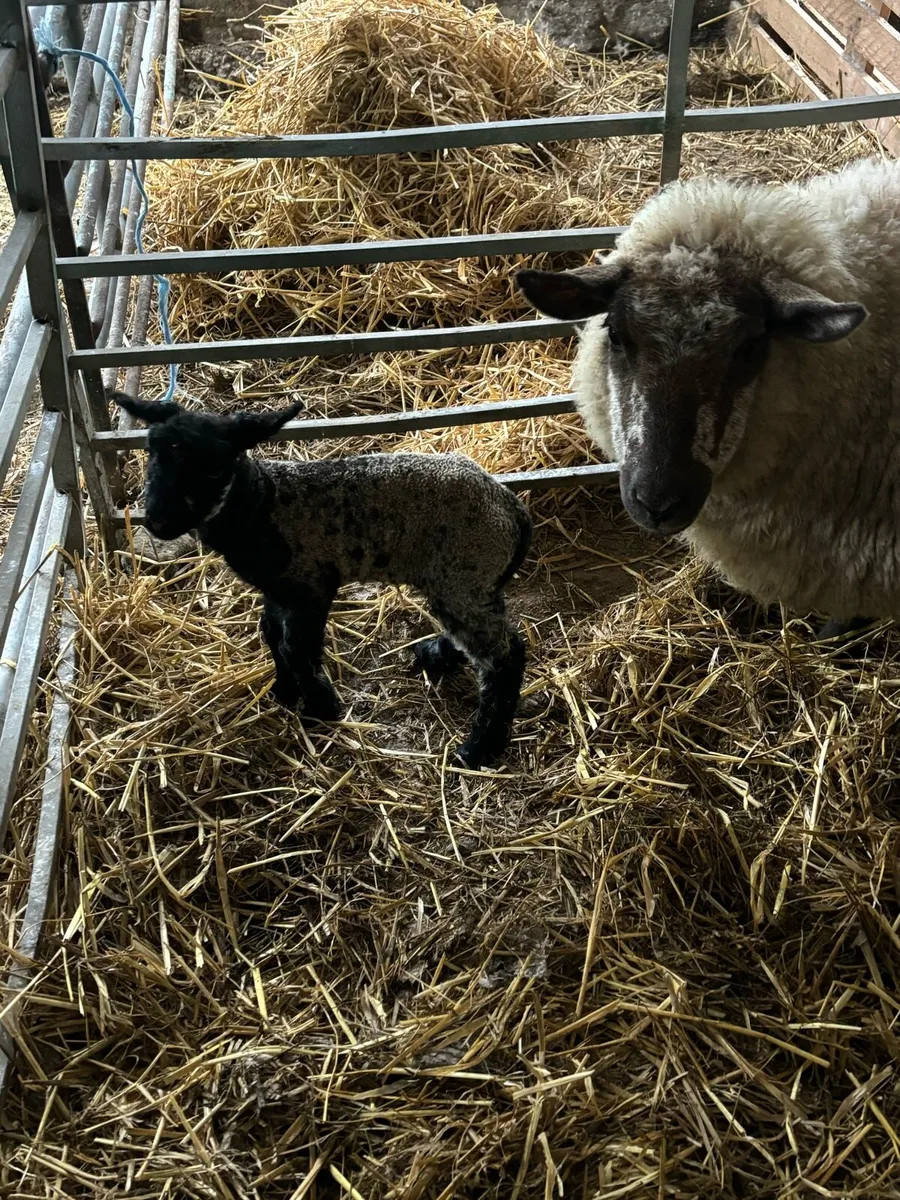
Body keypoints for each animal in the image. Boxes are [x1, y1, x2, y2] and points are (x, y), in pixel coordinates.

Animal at [112, 393, 532, 767]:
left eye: (214, 466)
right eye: (151, 450)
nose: (157, 521)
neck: (261, 506)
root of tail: (510, 506)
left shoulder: (310, 587)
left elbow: (297, 649)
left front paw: (321, 706)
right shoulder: (278, 589)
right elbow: (272, 635)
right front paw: (284, 692)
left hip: (463, 574)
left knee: (504, 657)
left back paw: (479, 749)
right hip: (470, 582)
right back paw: (436, 655)